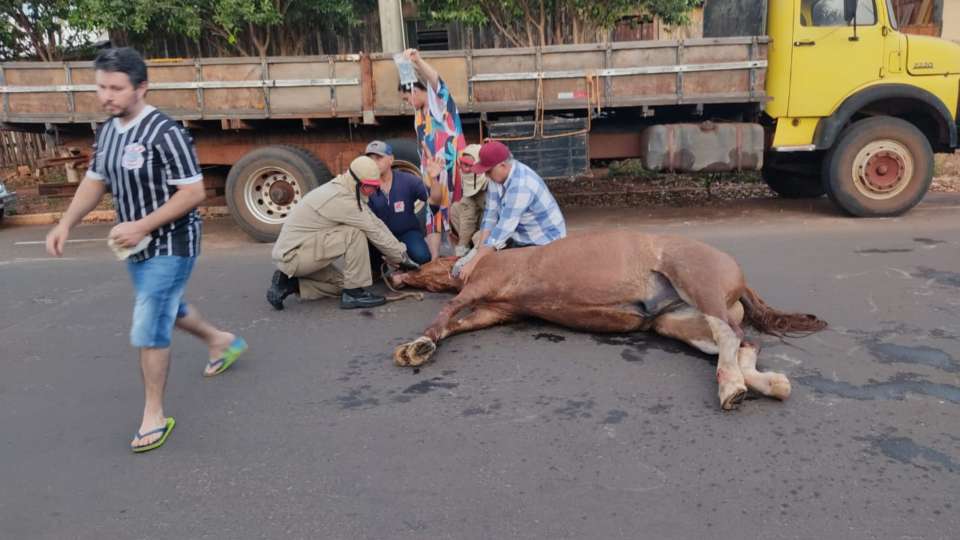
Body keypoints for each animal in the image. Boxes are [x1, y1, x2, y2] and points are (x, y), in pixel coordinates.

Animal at [386, 230, 820, 412]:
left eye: (426, 263)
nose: (395, 271)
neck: (486, 259)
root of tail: (739, 277)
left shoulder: (479, 288)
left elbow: (445, 313)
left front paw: (416, 347)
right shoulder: (494, 310)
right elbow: (455, 324)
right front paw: (425, 344)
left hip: (699, 285)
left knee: (731, 339)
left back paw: (732, 388)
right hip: (676, 322)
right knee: (743, 343)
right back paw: (769, 383)